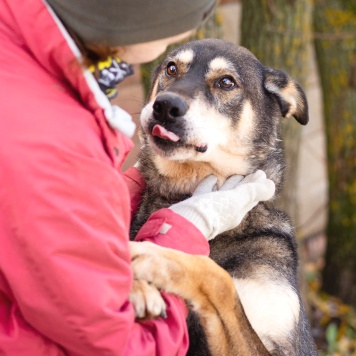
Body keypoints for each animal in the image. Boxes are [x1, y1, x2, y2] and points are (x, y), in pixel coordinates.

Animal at [129, 37, 318, 354]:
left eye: (226, 82)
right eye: (171, 68)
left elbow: (221, 281)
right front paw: (136, 284)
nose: (165, 105)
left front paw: (156, 256)